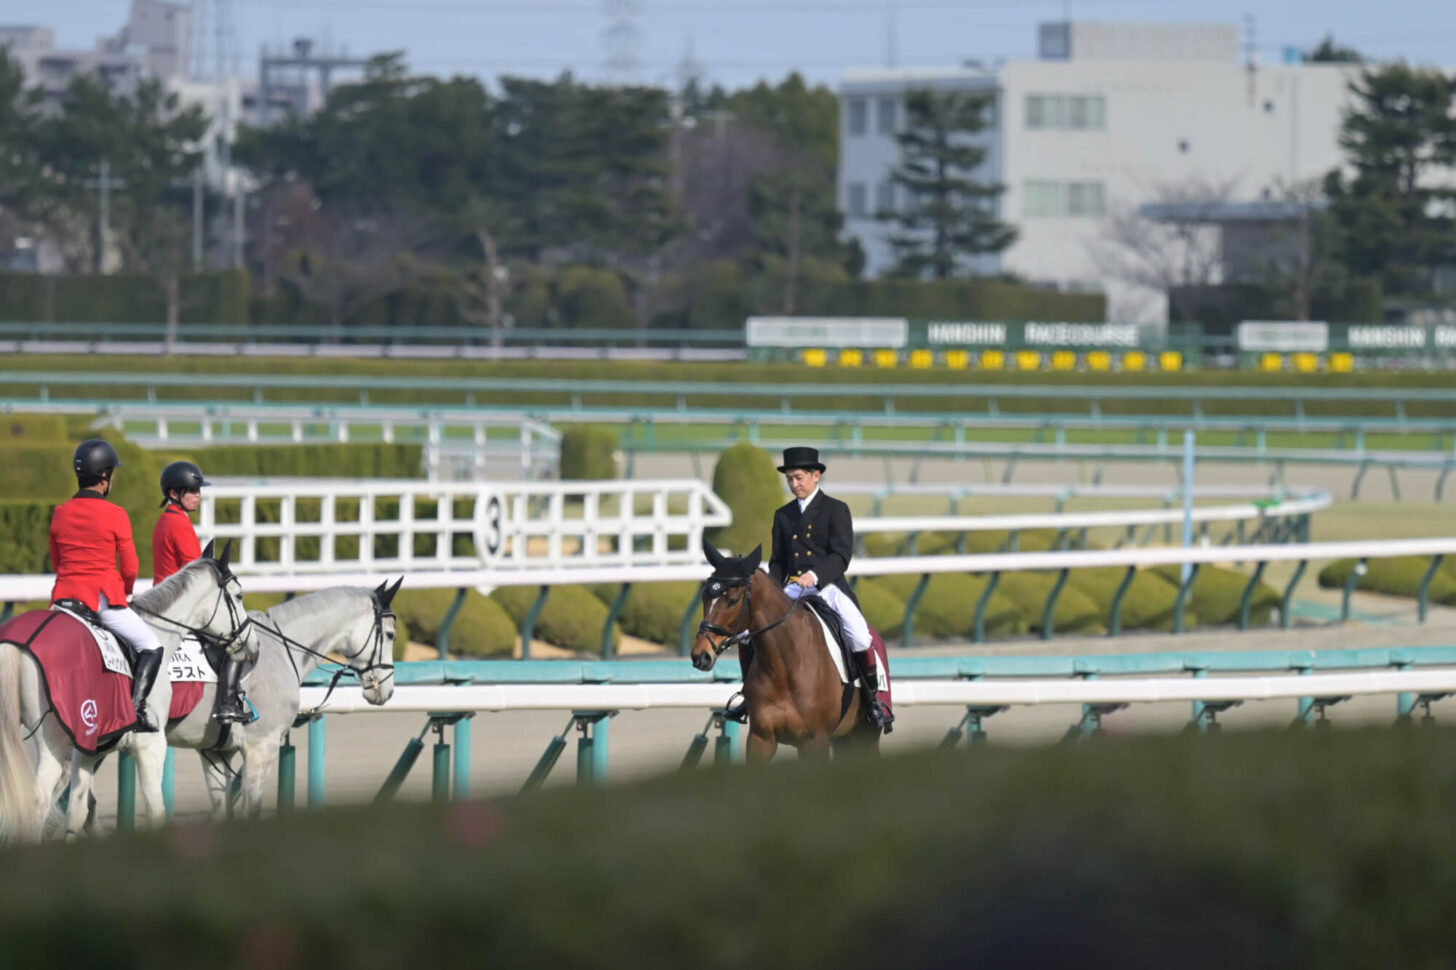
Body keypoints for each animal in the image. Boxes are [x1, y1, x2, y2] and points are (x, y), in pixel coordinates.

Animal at [0, 544, 253, 838]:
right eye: (239, 596)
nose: (253, 646)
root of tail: (16, 642)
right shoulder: (151, 746)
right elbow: (156, 812)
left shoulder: (89, 750)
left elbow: (77, 813)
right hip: (51, 743)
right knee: (36, 804)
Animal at [65, 576, 398, 827]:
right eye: (392, 635)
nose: (387, 691)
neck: (281, 648)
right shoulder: (261, 747)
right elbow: (250, 810)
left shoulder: (213, 751)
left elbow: (221, 810)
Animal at [690, 538, 879, 757]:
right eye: (704, 596)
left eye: (733, 600)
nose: (700, 655)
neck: (785, 666)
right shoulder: (761, 738)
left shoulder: (815, 740)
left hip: (866, 734)